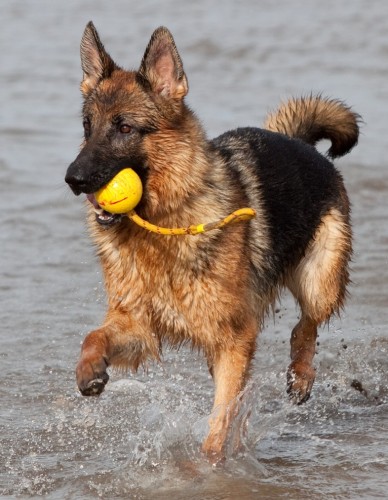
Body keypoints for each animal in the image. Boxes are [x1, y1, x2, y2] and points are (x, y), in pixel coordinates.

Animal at [65, 24, 360, 460]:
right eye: (88, 127)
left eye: (124, 128)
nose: (74, 179)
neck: (161, 222)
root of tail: (299, 142)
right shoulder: (140, 327)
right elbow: (94, 335)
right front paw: (89, 369)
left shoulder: (234, 338)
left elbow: (220, 421)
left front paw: (210, 463)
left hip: (319, 280)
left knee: (306, 325)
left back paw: (301, 375)